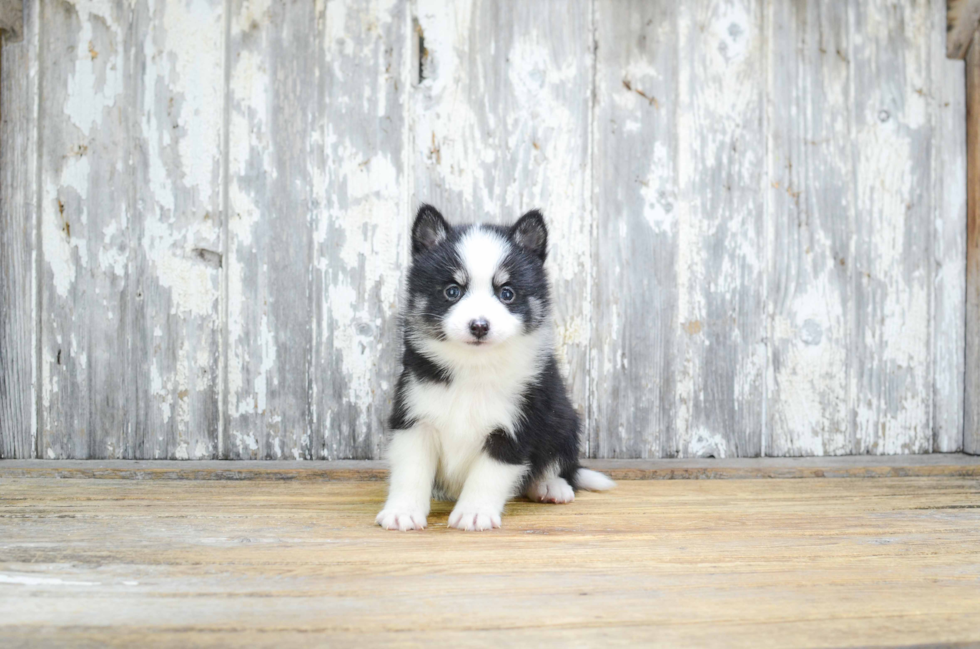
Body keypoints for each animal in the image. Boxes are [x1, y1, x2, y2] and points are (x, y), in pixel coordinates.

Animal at [376, 204, 612, 532]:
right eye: (452, 291)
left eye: (507, 293)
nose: (479, 326)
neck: (474, 366)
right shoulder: (414, 416)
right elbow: (411, 470)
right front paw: (403, 511)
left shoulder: (517, 425)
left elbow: (488, 475)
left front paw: (474, 513)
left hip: (563, 419)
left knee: (559, 463)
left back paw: (550, 485)